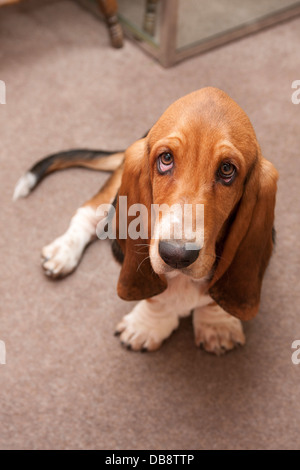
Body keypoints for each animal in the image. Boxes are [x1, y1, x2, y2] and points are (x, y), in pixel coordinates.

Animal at [12, 87, 278, 352]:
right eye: (166, 159)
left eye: (226, 170)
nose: (177, 255)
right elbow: (156, 297)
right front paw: (147, 326)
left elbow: (212, 297)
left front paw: (217, 325)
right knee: (88, 214)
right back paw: (63, 252)